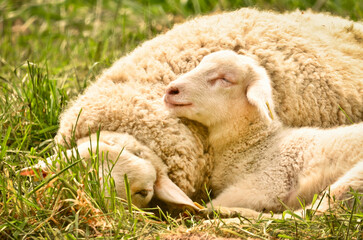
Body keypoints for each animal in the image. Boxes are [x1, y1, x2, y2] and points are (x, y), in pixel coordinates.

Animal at [165, 50, 363, 218]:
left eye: (225, 79)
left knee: (308, 214)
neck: (256, 143)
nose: (171, 90)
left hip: (353, 180)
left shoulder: (270, 182)